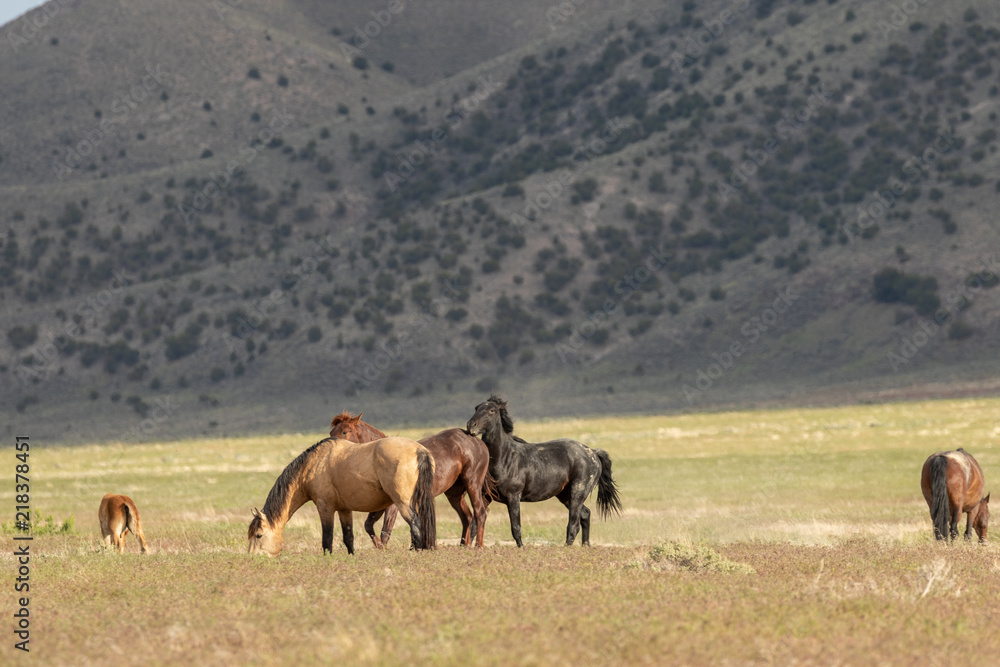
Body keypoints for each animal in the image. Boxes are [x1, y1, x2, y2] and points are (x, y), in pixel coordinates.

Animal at [247, 436, 436, 555]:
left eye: (258, 535)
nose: (252, 559)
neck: (313, 465)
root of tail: (419, 451)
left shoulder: (325, 508)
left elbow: (327, 539)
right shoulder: (344, 510)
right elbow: (348, 538)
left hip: (403, 503)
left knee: (415, 525)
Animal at [329, 411, 492, 548]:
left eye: (344, 431)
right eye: (331, 432)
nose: (332, 450)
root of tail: (477, 442)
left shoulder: (393, 506)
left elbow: (385, 532)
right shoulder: (381, 505)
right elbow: (369, 526)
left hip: (472, 484)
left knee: (480, 513)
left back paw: (478, 546)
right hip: (454, 494)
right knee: (467, 517)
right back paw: (464, 546)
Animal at [465, 394, 622, 547]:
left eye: (492, 410)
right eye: (476, 408)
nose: (471, 426)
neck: (505, 458)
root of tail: (593, 452)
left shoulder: (513, 497)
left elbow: (516, 527)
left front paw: (522, 548)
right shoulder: (485, 496)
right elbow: (475, 523)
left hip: (577, 493)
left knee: (574, 523)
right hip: (564, 495)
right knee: (585, 514)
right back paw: (585, 546)